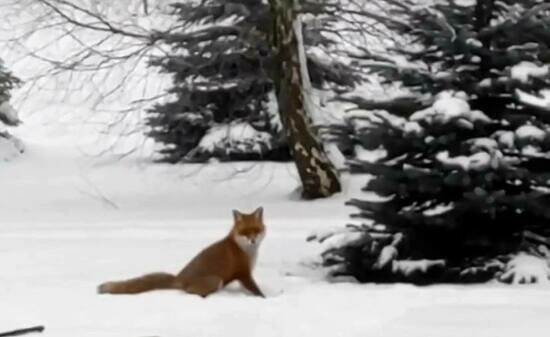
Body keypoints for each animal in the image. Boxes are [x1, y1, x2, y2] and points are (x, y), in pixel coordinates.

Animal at [98, 207, 268, 296]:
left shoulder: (243, 276)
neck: (247, 251)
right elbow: (258, 293)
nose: (252, 240)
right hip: (216, 279)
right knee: (191, 293)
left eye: (256, 230)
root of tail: (178, 278)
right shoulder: (243, 273)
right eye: (244, 232)